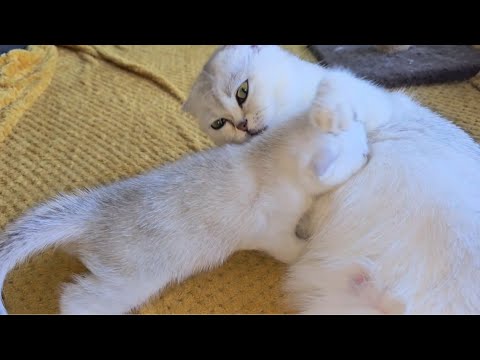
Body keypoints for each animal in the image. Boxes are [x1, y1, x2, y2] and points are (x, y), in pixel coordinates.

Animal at [0, 107, 368, 316]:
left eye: (361, 133)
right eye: (361, 151)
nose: (368, 148)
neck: (264, 158)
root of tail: (92, 209)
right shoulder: (272, 232)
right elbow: (292, 248)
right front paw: (308, 246)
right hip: (131, 281)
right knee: (76, 299)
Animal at [184, 45, 480, 316]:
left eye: (242, 91)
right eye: (219, 123)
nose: (242, 126)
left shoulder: (367, 100)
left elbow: (333, 85)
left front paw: (328, 118)